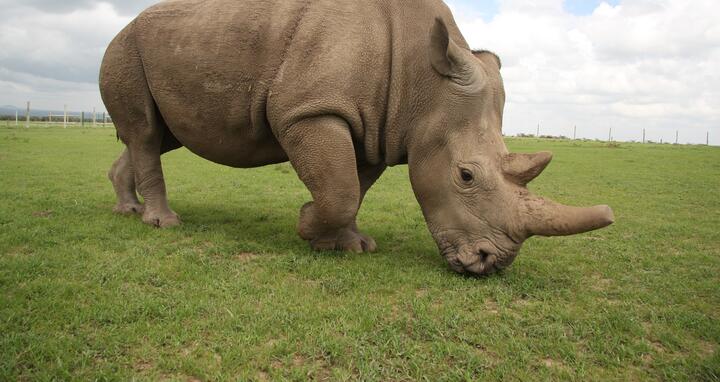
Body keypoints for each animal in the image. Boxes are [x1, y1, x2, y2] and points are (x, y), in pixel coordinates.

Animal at [100, 0, 612, 274]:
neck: (423, 79)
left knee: (158, 136)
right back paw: (164, 223)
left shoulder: (378, 126)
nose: (490, 264)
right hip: (125, 47)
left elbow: (353, 186)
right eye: (466, 175)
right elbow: (340, 187)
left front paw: (348, 246)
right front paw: (308, 224)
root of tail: (124, 26)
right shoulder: (310, 109)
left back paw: (128, 210)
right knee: (145, 133)